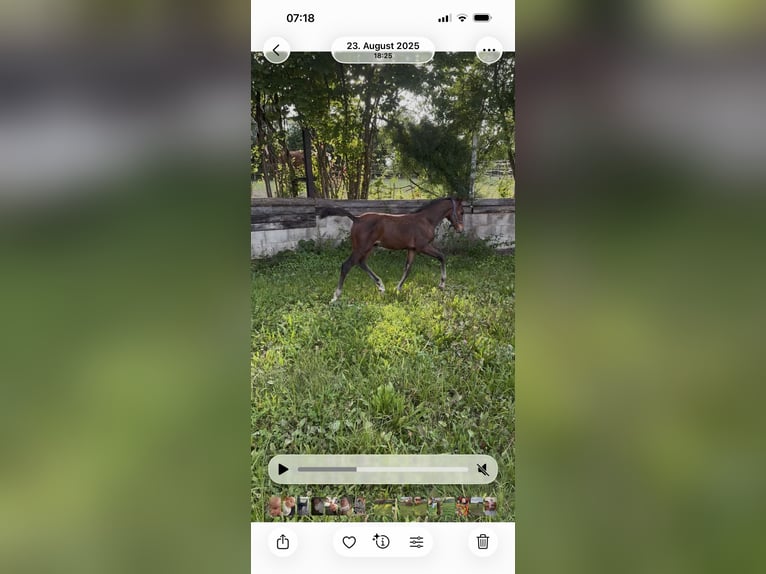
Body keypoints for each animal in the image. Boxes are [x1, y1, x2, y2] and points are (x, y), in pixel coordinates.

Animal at [318, 197, 464, 302]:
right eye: (461, 212)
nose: (461, 229)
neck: (426, 220)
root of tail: (357, 218)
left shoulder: (412, 249)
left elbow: (407, 269)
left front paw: (397, 289)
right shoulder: (423, 246)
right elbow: (442, 256)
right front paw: (442, 284)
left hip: (368, 247)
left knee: (362, 263)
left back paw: (381, 286)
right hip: (362, 247)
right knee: (347, 265)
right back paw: (336, 296)